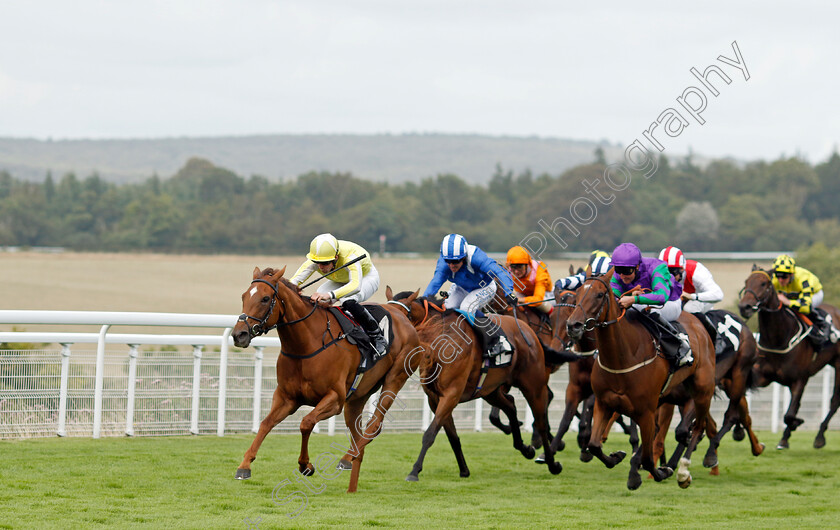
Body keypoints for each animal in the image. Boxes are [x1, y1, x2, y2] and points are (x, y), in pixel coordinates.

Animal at [233, 266, 424, 492]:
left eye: (264, 298)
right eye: (244, 296)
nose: (239, 335)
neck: (307, 345)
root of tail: (402, 314)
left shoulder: (334, 399)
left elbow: (306, 423)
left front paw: (306, 465)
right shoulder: (287, 398)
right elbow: (265, 423)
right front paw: (244, 466)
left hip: (395, 378)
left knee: (375, 424)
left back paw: (347, 458)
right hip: (357, 397)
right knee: (357, 430)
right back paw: (350, 467)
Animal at [388, 288, 564, 478]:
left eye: (400, 317)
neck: (440, 341)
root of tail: (528, 330)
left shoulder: (451, 394)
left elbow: (430, 433)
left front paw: (414, 471)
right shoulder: (435, 398)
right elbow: (452, 436)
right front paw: (464, 470)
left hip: (533, 386)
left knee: (541, 422)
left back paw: (551, 463)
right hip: (490, 390)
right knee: (510, 405)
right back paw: (525, 448)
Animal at [564, 272, 716, 486]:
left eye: (600, 294)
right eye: (577, 294)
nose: (573, 325)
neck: (622, 356)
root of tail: (698, 324)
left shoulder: (646, 412)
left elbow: (648, 458)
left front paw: (661, 471)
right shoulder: (604, 403)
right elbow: (594, 445)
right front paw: (616, 456)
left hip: (703, 390)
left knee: (697, 426)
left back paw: (683, 471)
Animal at [736, 268, 840, 446]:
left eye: (764, 283)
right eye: (746, 282)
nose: (745, 307)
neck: (778, 339)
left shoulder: (800, 379)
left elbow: (789, 414)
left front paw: (797, 423)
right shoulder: (761, 376)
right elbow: (741, 395)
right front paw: (738, 430)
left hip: (839, 365)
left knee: (834, 401)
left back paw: (819, 437)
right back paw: (785, 438)